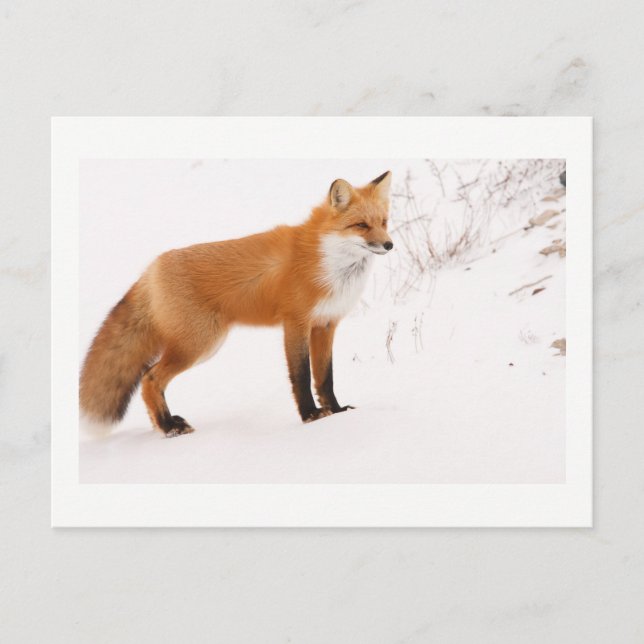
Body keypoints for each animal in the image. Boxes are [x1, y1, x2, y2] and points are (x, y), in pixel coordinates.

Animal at [80, 171, 393, 437]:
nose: (389, 245)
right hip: (199, 344)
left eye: (384, 222)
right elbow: (301, 376)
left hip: (202, 345)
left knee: (151, 380)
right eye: (361, 225)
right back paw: (169, 427)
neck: (328, 261)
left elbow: (325, 378)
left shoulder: (326, 324)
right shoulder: (296, 322)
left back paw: (165, 423)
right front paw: (311, 417)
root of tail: (152, 268)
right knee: (150, 378)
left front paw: (337, 412)